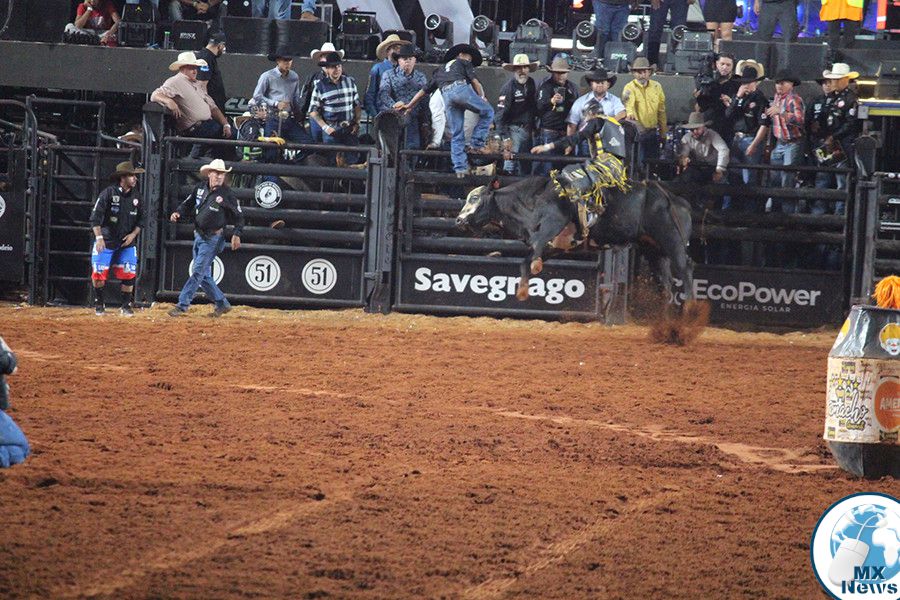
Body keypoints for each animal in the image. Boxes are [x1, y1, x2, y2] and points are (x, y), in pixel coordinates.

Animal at [455, 176, 694, 305]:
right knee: (666, 283)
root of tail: (675, 199)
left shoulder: (552, 225)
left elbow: (531, 253)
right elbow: (529, 259)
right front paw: (527, 283)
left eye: (474, 198)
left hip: (673, 242)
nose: (458, 220)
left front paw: (526, 283)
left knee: (685, 269)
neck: (532, 202)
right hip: (654, 250)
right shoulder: (556, 245)